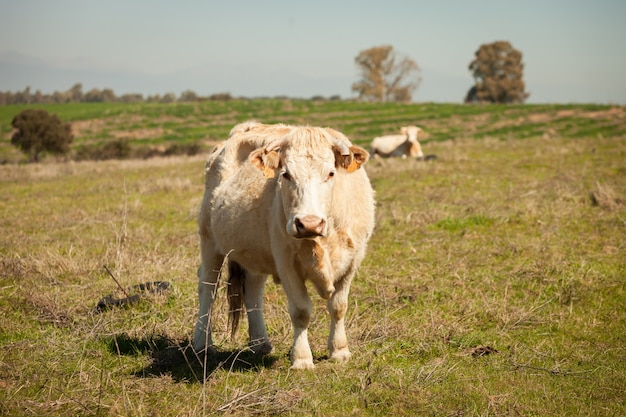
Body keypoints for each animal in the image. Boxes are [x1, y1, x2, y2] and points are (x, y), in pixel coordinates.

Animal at [193, 119, 372, 368]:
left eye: (331, 173)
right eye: (286, 174)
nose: (309, 223)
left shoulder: (352, 262)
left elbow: (338, 306)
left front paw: (339, 351)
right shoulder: (286, 262)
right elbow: (301, 311)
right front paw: (302, 358)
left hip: (254, 251)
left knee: (253, 290)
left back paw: (260, 343)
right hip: (209, 241)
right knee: (207, 287)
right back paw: (202, 343)